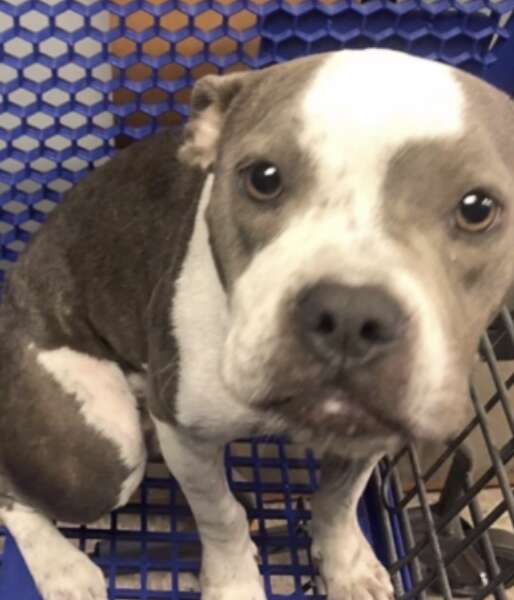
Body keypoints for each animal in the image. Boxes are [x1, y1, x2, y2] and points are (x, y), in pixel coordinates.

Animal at [1, 48, 512, 600]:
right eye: (263, 178)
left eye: (478, 208)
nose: (350, 314)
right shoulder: (188, 436)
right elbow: (221, 517)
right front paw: (234, 583)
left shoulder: (370, 434)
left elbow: (338, 501)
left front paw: (347, 566)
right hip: (102, 453)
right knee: (14, 493)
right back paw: (62, 567)